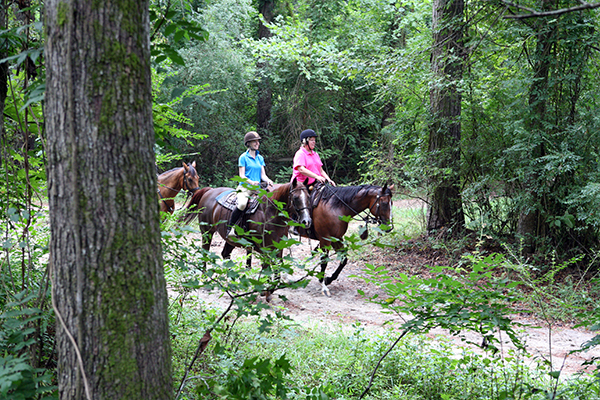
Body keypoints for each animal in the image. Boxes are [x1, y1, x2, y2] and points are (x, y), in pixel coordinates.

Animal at [183, 180, 314, 296]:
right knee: (205, 252)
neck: (270, 212)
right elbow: (268, 265)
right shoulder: (263, 248)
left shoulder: (278, 247)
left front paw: (268, 288)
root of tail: (210, 191)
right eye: (295, 198)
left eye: (308, 197)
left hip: (230, 240)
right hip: (207, 232)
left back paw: (233, 284)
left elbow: (277, 267)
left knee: (225, 254)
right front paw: (264, 288)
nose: (306, 221)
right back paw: (205, 280)